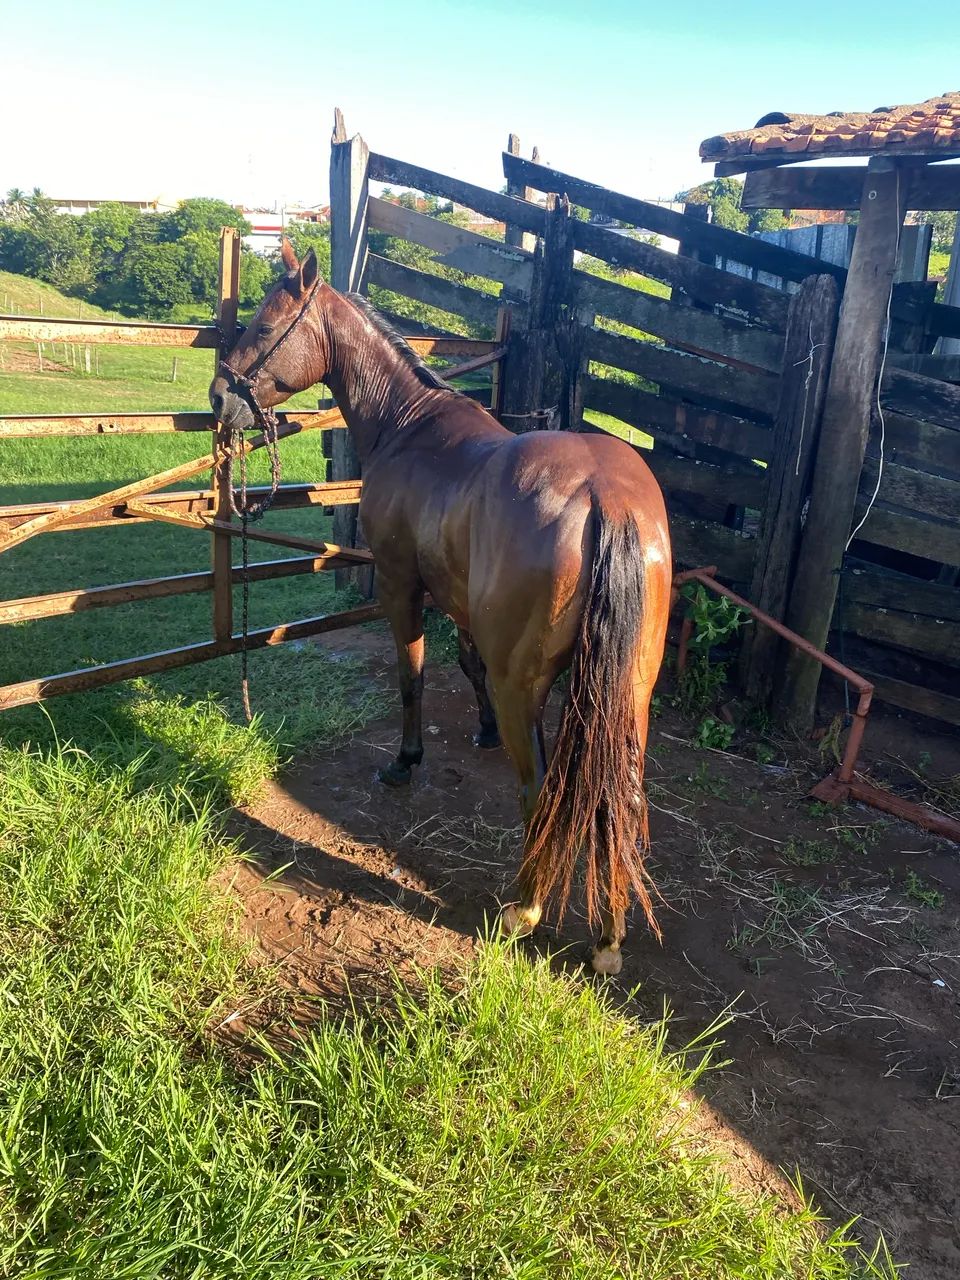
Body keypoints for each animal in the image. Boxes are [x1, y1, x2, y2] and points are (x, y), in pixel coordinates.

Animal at [209, 240, 672, 974]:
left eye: (264, 324)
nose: (219, 397)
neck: (408, 426)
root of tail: (608, 499)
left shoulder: (403, 586)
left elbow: (414, 674)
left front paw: (405, 760)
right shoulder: (458, 600)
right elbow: (466, 663)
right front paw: (476, 728)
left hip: (529, 689)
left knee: (540, 791)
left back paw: (524, 910)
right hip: (628, 693)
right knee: (617, 793)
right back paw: (608, 936)